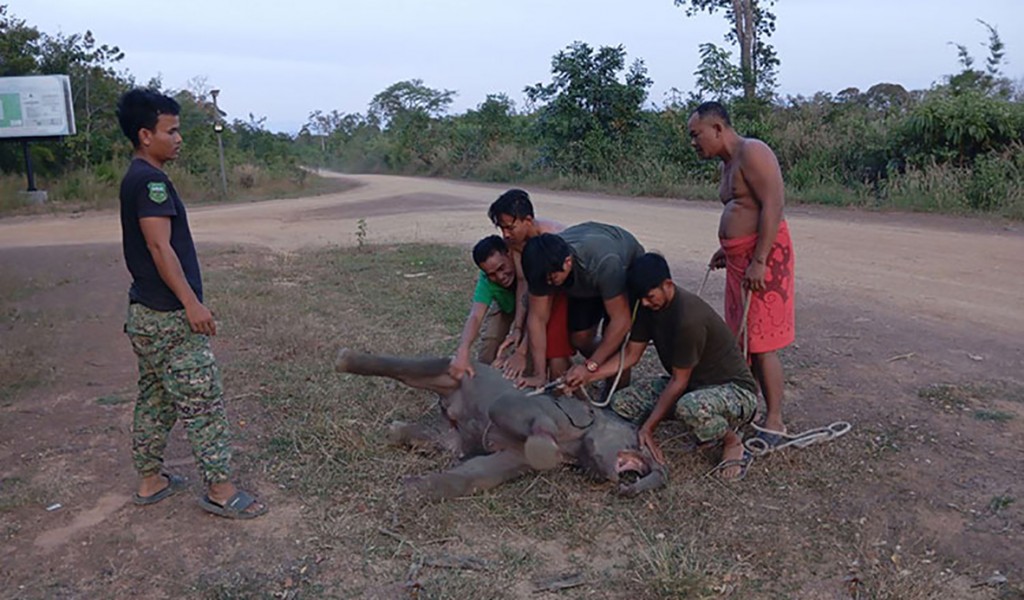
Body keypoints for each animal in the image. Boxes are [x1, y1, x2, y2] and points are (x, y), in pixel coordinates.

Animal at [335, 348, 663, 497]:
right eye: (635, 439)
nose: (658, 463)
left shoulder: (518, 457)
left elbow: (477, 474)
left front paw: (412, 490)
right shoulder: (537, 407)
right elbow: (507, 410)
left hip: (449, 431)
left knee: (434, 436)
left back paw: (391, 432)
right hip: (455, 372)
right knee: (413, 368)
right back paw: (344, 360)